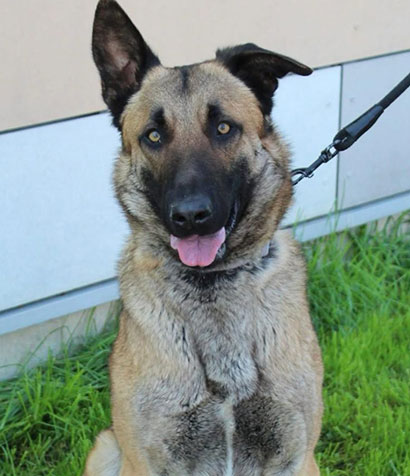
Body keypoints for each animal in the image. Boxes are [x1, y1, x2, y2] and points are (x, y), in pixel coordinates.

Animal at [84, 1, 323, 474]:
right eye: (153, 136)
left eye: (224, 128)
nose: (190, 217)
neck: (214, 282)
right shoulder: (147, 461)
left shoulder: (297, 458)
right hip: (106, 449)